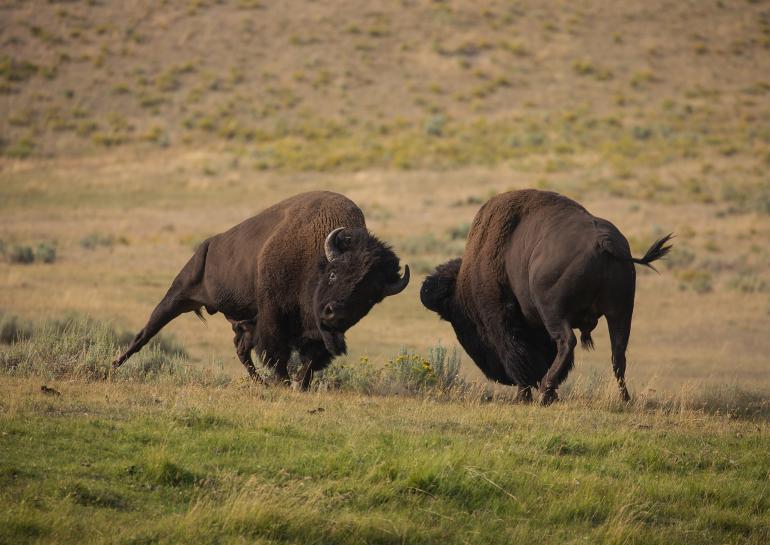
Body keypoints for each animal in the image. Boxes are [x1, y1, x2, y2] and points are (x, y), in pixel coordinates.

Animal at [112, 191, 410, 388]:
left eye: (370, 297)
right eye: (334, 273)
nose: (333, 314)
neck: (314, 256)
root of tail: (208, 244)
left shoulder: (315, 333)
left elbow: (310, 358)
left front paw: (300, 385)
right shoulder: (273, 316)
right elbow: (278, 353)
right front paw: (284, 382)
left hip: (245, 322)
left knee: (241, 350)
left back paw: (260, 383)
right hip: (177, 296)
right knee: (145, 333)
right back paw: (114, 366)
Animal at [420, 189, 671, 404]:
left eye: (459, 319)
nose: (495, 374)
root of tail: (604, 243)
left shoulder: (504, 320)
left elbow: (517, 354)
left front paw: (524, 395)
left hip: (554, 312)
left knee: (567, 342)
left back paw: (545, 391)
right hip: (620, 312)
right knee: (618, 353)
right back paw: (624, 398)